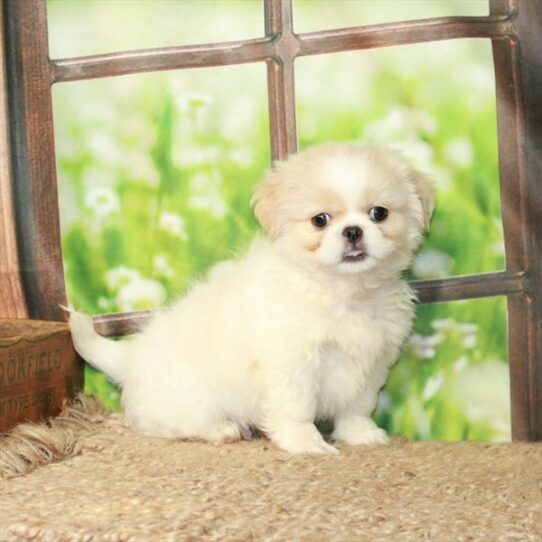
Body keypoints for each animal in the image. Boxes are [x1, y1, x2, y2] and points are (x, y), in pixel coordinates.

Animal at [70, 143, 436, 454]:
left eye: (379, 213)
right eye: (320, 220)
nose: (353, 231)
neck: (342, 294)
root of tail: (130, 359)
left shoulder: (372, 361)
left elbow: (357, 406)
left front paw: (360, 434)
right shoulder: (294, 364)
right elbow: (297, 408)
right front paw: (305, 443)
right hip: (188, 400)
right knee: (167, 425)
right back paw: (222, 429)